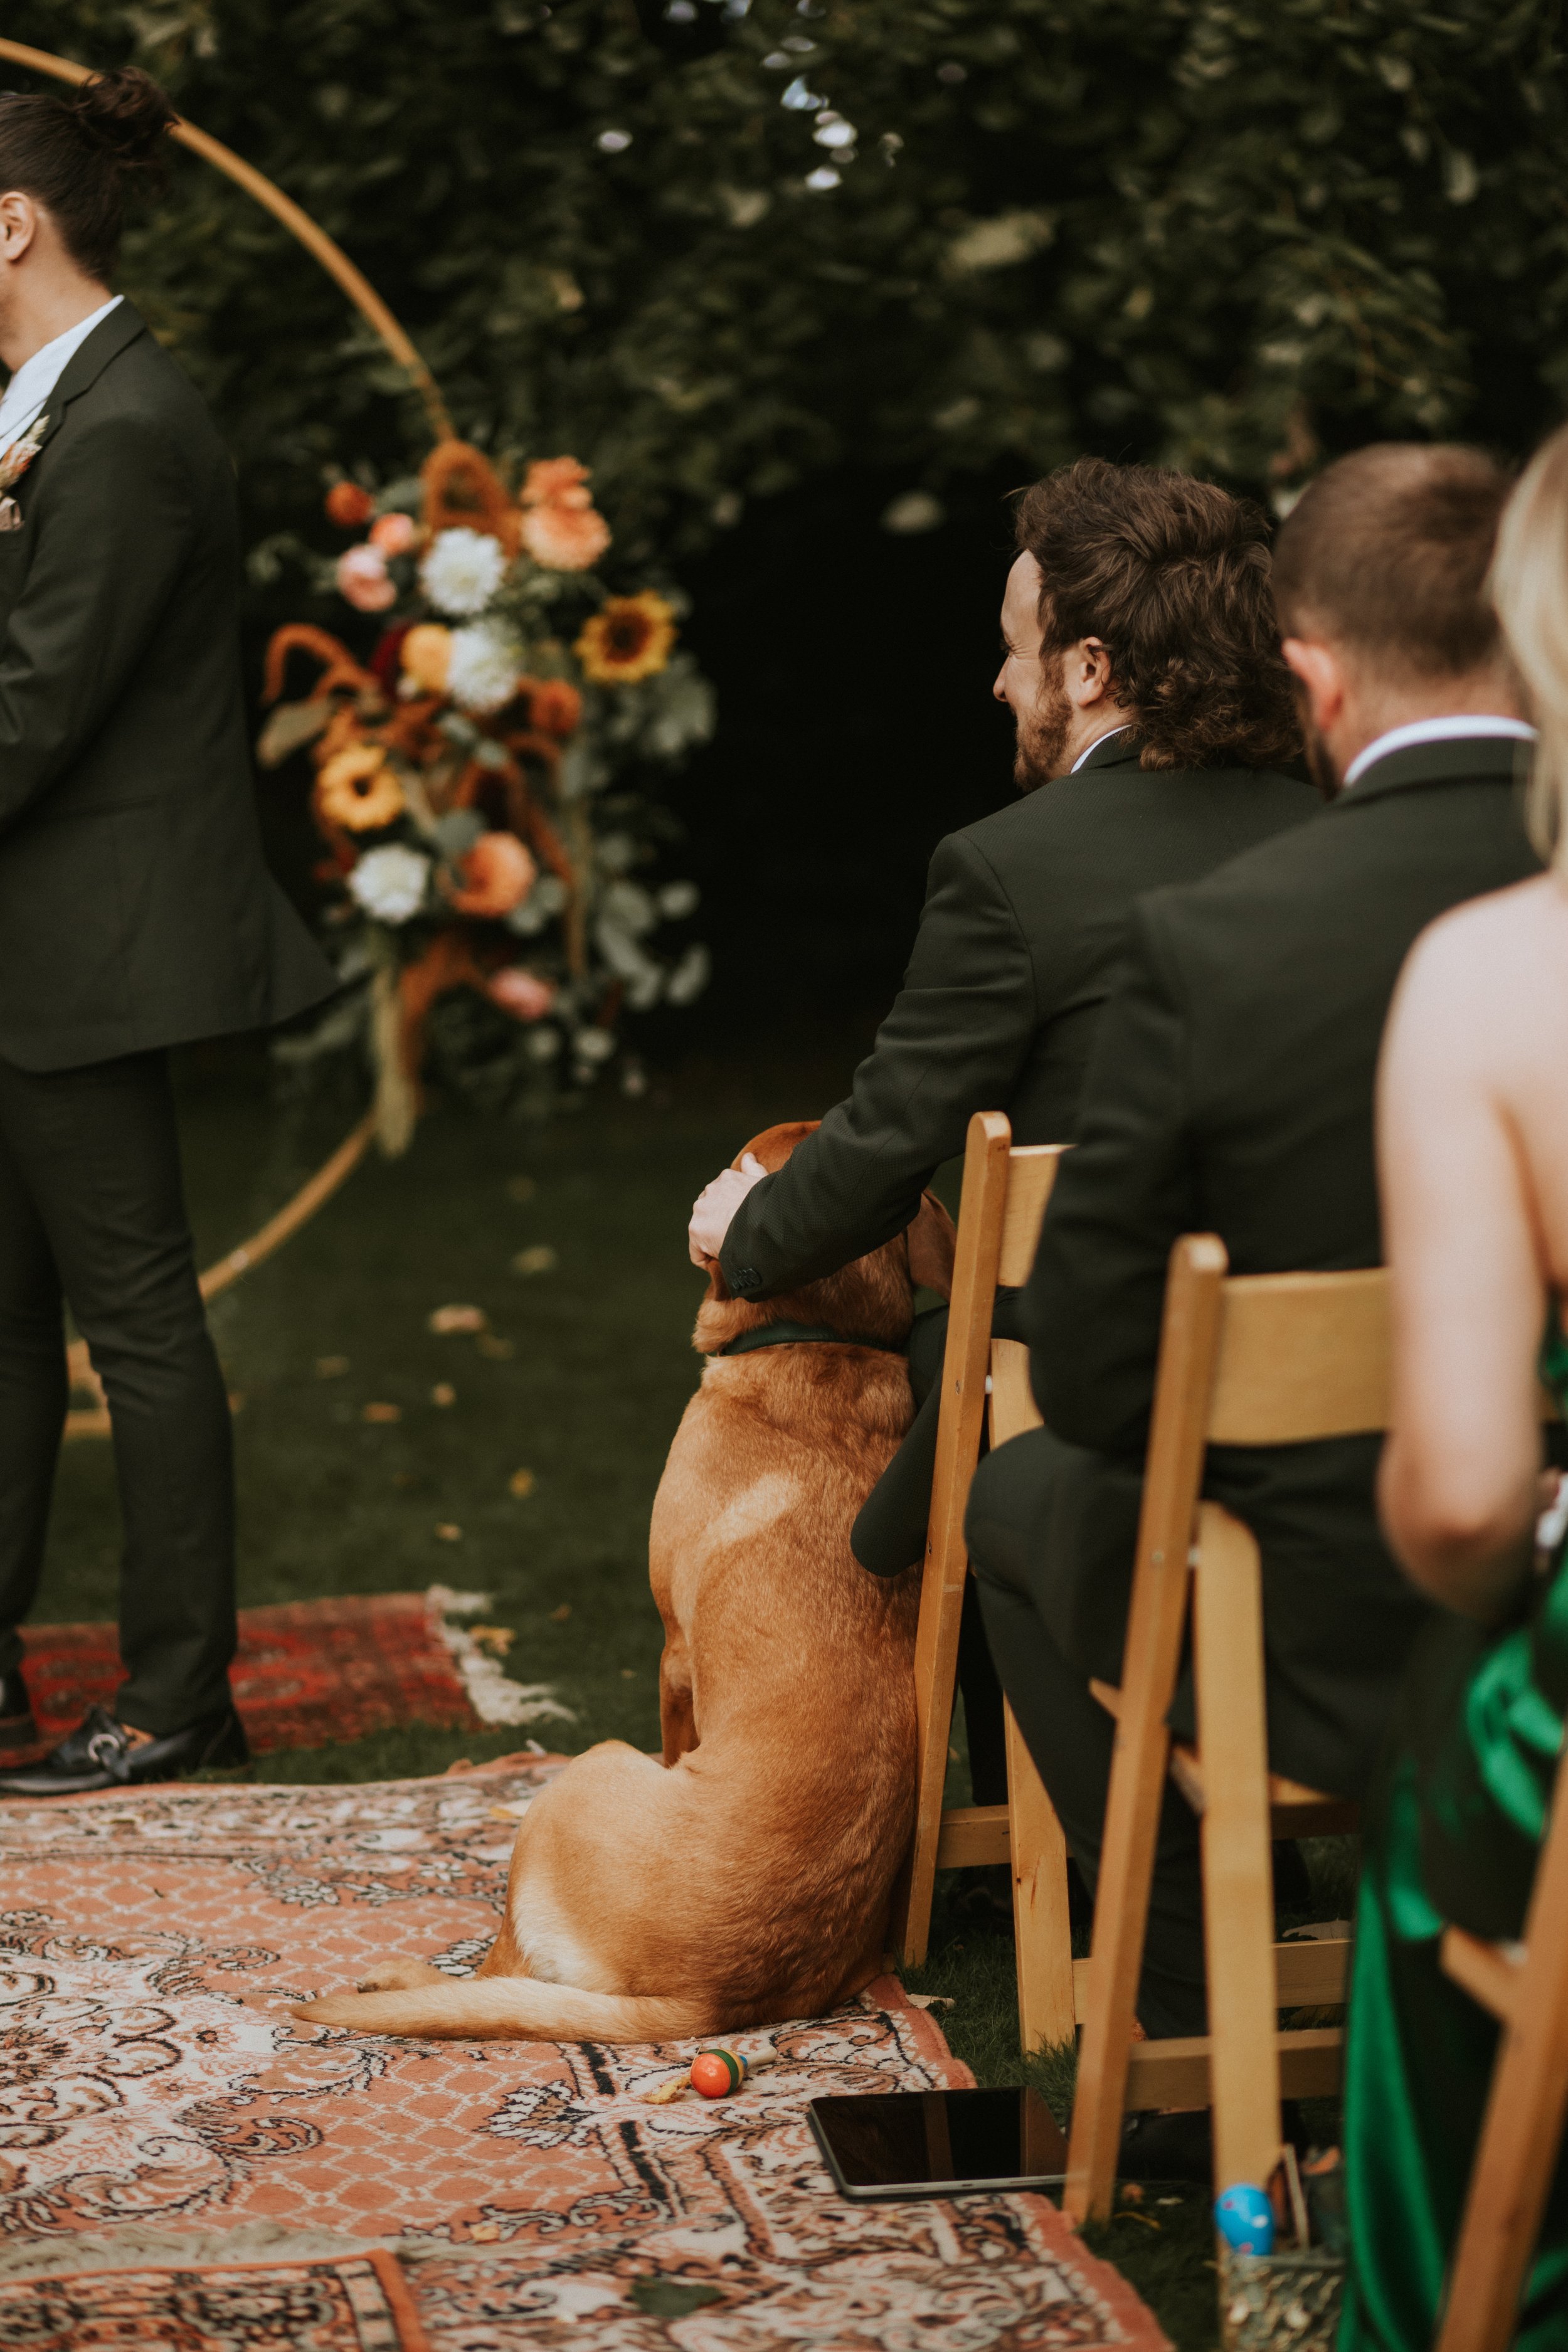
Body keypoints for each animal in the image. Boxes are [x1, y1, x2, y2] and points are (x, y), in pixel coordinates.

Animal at [292, 1120, 959, 2042]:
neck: (819, 1338)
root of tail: (703, 2000)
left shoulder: (673, 1651)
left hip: (581, 1774)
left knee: (496, 1969)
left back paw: (398, 1978)